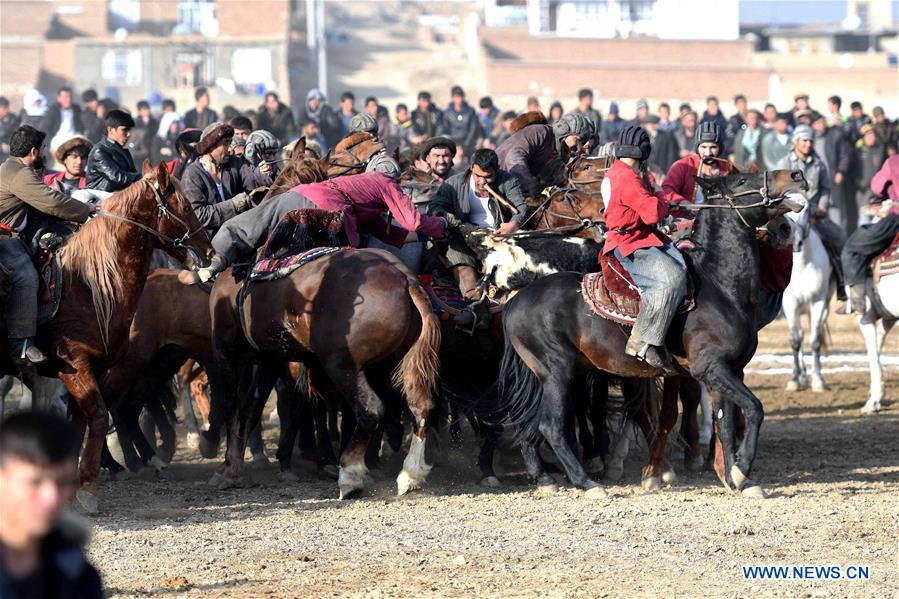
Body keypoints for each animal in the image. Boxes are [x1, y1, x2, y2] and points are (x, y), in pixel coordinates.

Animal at [0, 162, 213, 512]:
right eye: (184, 206)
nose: (208, 252)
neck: (88, 284)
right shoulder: (74, 364)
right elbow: (99, 417)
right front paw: (87, 489)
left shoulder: (91, 370)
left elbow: (78, 425)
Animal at [784, 211, 840, 394]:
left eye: (806, 211)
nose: (796, 242)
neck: (801, 266)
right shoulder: (790, 304)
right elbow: (795, 341)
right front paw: (794, 380)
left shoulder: (818, 301)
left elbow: (815, 341)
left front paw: (818, 381)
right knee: (800, 336)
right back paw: (801, 377)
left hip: (824, 306)